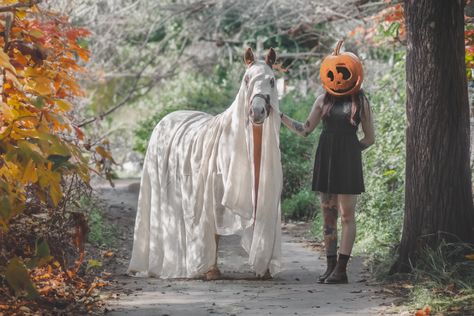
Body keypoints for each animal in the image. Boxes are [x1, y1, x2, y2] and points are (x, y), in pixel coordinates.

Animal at [128, 47, 282, 278]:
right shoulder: (214, 197)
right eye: (246, 79)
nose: (257, 112)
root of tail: (168, 117)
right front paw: (212, 271)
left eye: (272, 81)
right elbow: (215, 233)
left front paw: (263, 270)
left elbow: (258, 228)